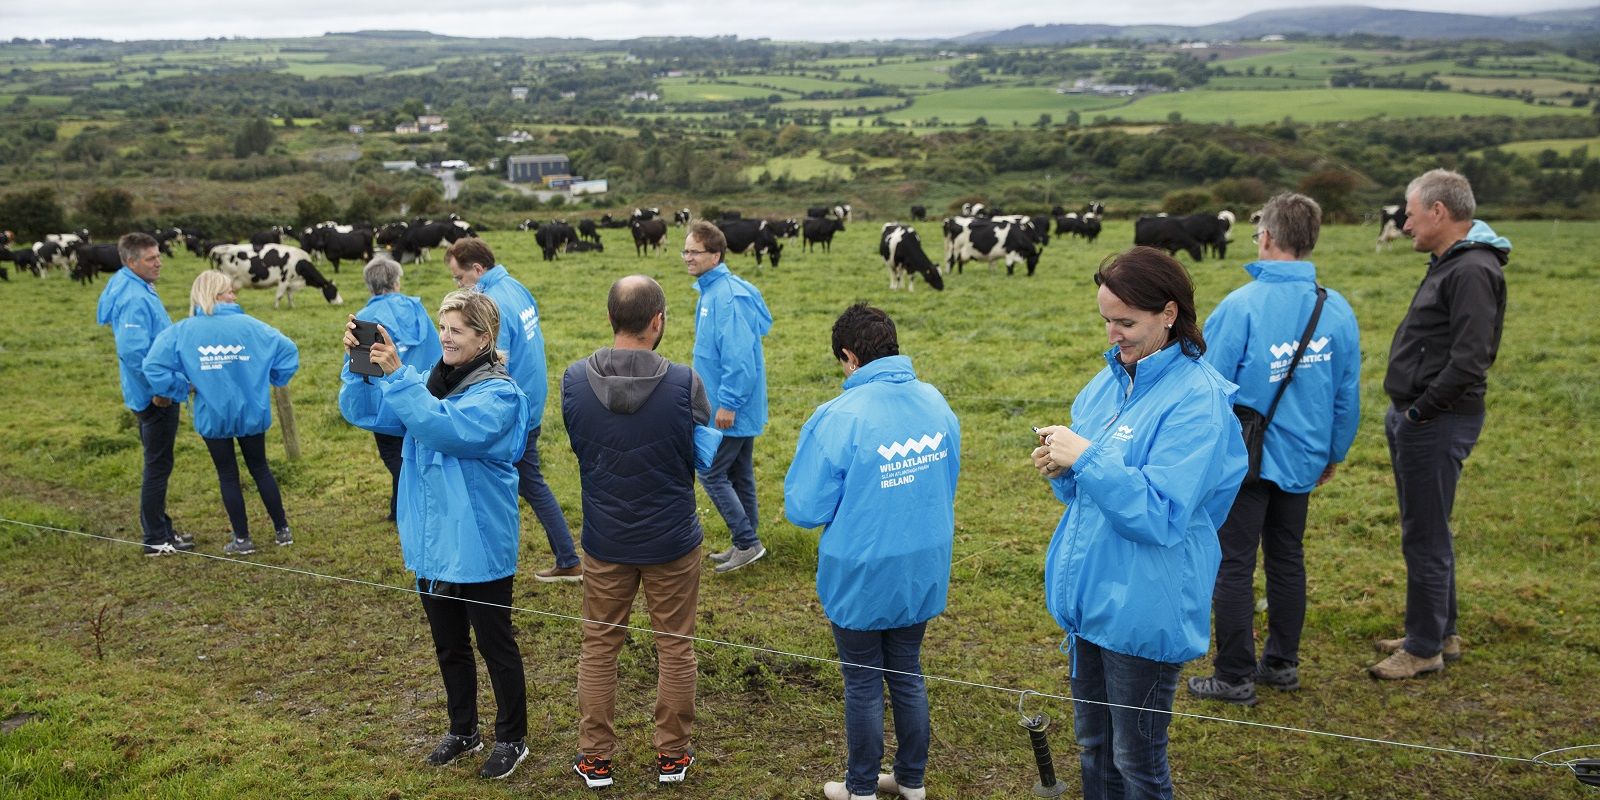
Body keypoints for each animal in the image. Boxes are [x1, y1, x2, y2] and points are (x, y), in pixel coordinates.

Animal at [211, 241, 342, 307]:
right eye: (334, 290)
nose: (341, 302)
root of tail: (221, 248)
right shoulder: (284, 279)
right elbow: (279, 296)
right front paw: (276, 307)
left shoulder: (291, 283)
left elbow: (290, 296)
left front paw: (292, 307)